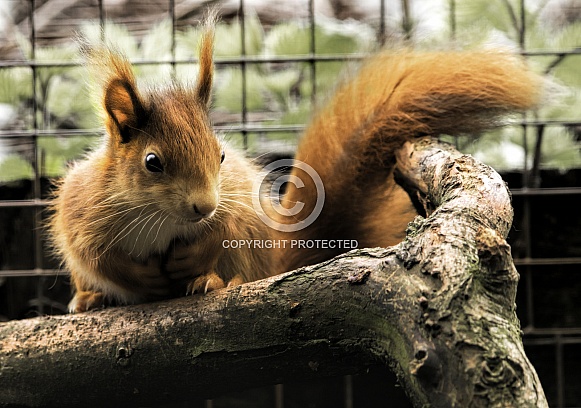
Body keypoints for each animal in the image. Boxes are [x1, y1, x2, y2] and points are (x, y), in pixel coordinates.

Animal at [47, 17, 540, 312]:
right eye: (152, 162)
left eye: (221, 155)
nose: (203, 206)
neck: (161, 219)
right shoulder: (83, 213)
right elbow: (99, 257)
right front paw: (139, 278)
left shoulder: (235, 203)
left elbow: (225, 231)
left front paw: (197, 259)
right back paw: (88, 298)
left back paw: (213, 281)